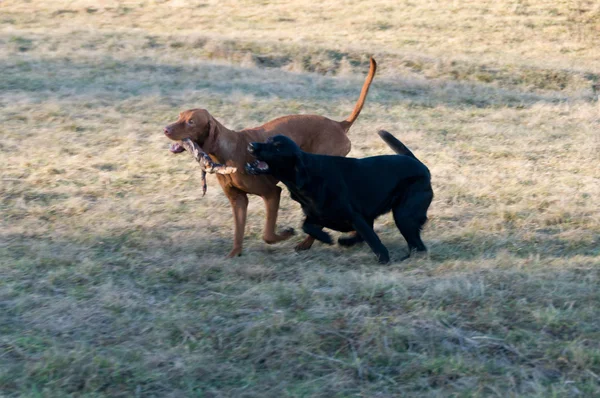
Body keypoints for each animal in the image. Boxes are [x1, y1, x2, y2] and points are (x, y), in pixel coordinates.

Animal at [164, 59, 378, 258]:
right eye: (179, 116)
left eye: (191, 122)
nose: (165, 129)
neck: (227, 152)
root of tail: (339, 124)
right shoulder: (238, 200)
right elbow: (238, 232)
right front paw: (234, 254)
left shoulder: (272, 193)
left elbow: (268, 234)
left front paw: (287, 233)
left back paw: (308, 243)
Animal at [246, 131, 434, 264]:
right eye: (267, 140)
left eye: (278, 147)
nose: (251, 146)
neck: (309, 178)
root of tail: (420, 165)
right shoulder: (317, 214)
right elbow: (306, 226)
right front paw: (326, 238)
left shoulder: (355, 216)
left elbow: (373, 240)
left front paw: (384, 260)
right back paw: (347, 241)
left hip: (403, 216)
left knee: (418, 247)